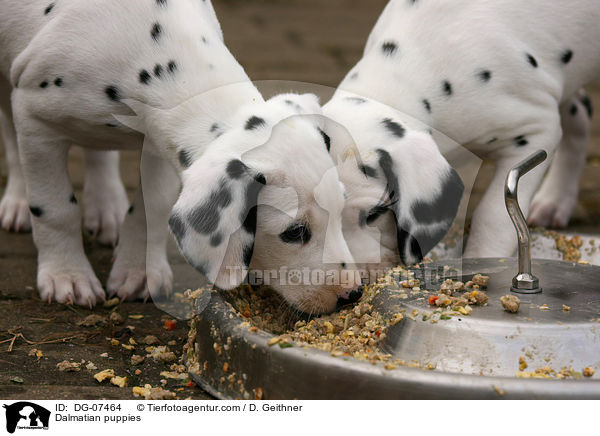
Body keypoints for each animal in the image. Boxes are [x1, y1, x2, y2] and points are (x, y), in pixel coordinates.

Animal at [0, 0, 356, 314]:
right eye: (294, 232)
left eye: (340, 209)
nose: (352, 295)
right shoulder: (35, 121)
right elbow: (56, 208)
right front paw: (67, 275)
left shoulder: (157, 140)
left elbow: (153, 207)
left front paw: (139, 270)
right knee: (12, 143)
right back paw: (18, 203)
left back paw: (106, 207)